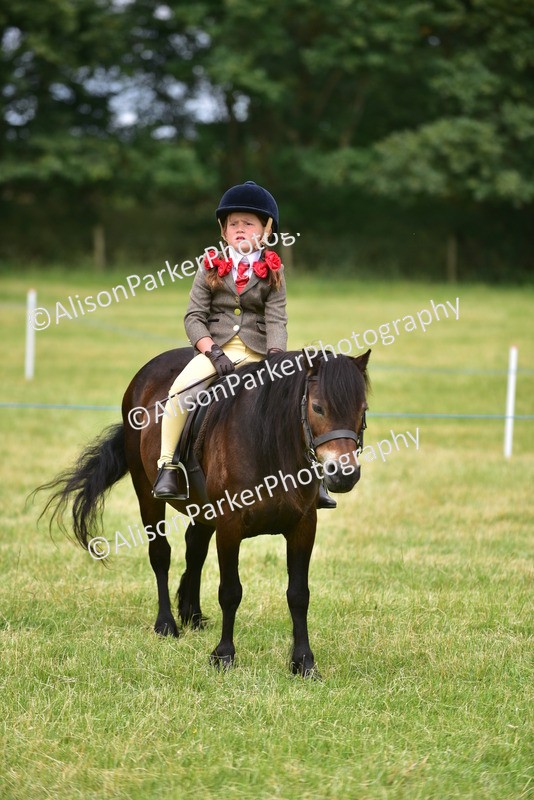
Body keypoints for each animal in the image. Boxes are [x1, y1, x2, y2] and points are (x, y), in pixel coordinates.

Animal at [38, 347, 370, 676]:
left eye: (362, 409)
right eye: (318, 407)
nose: (344, 475)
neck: (271, 445)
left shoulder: (303, 526)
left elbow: (299, 594)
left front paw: (303, 662)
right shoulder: (229, 526)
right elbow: (230, 591)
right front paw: (223, 655)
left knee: (194, 550)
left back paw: (193, 615)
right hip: (147, 492)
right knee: (160, 554)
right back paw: (166, 624)